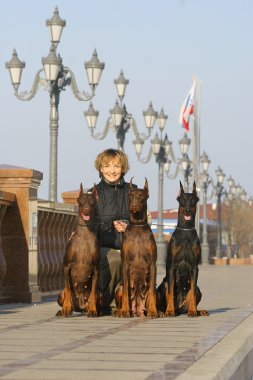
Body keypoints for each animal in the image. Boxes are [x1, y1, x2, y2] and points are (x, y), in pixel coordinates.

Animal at [55, 184, 100, 318]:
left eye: (92, 201)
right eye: (81, 201)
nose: (86, 209)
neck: (85, 231)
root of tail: (80, 307)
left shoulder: (96, 269)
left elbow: (93, 292)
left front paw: (93, 310)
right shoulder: (66, 266)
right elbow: (68, 288)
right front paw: (66, 308)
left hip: (100, 294)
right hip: (60, 294)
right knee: (65, 293)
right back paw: (62, 310)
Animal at [115, 178, 158, 318]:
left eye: (141, 197)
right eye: (131, 196)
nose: (133, 205)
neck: (138, 226)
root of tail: (138, 310)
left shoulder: (152, 264)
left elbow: (152, 291)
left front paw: (153, 311)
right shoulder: (125, 263)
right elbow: (126, 291)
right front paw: (124, 311)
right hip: (119, 288)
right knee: (122, 290)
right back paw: (118, 311)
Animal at [157, 182, 209, 318]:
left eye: (192, 201)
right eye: (182, 200)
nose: (187, 210)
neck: (186, 231)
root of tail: (179, 309)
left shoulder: (195, 267)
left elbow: (192, 293)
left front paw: (192, 311)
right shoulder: (172, 266)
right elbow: (170, 292)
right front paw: (169, 311)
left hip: (198, 290)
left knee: (194, 293)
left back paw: (199, 310)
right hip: (163, 285)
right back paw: (164, 311)